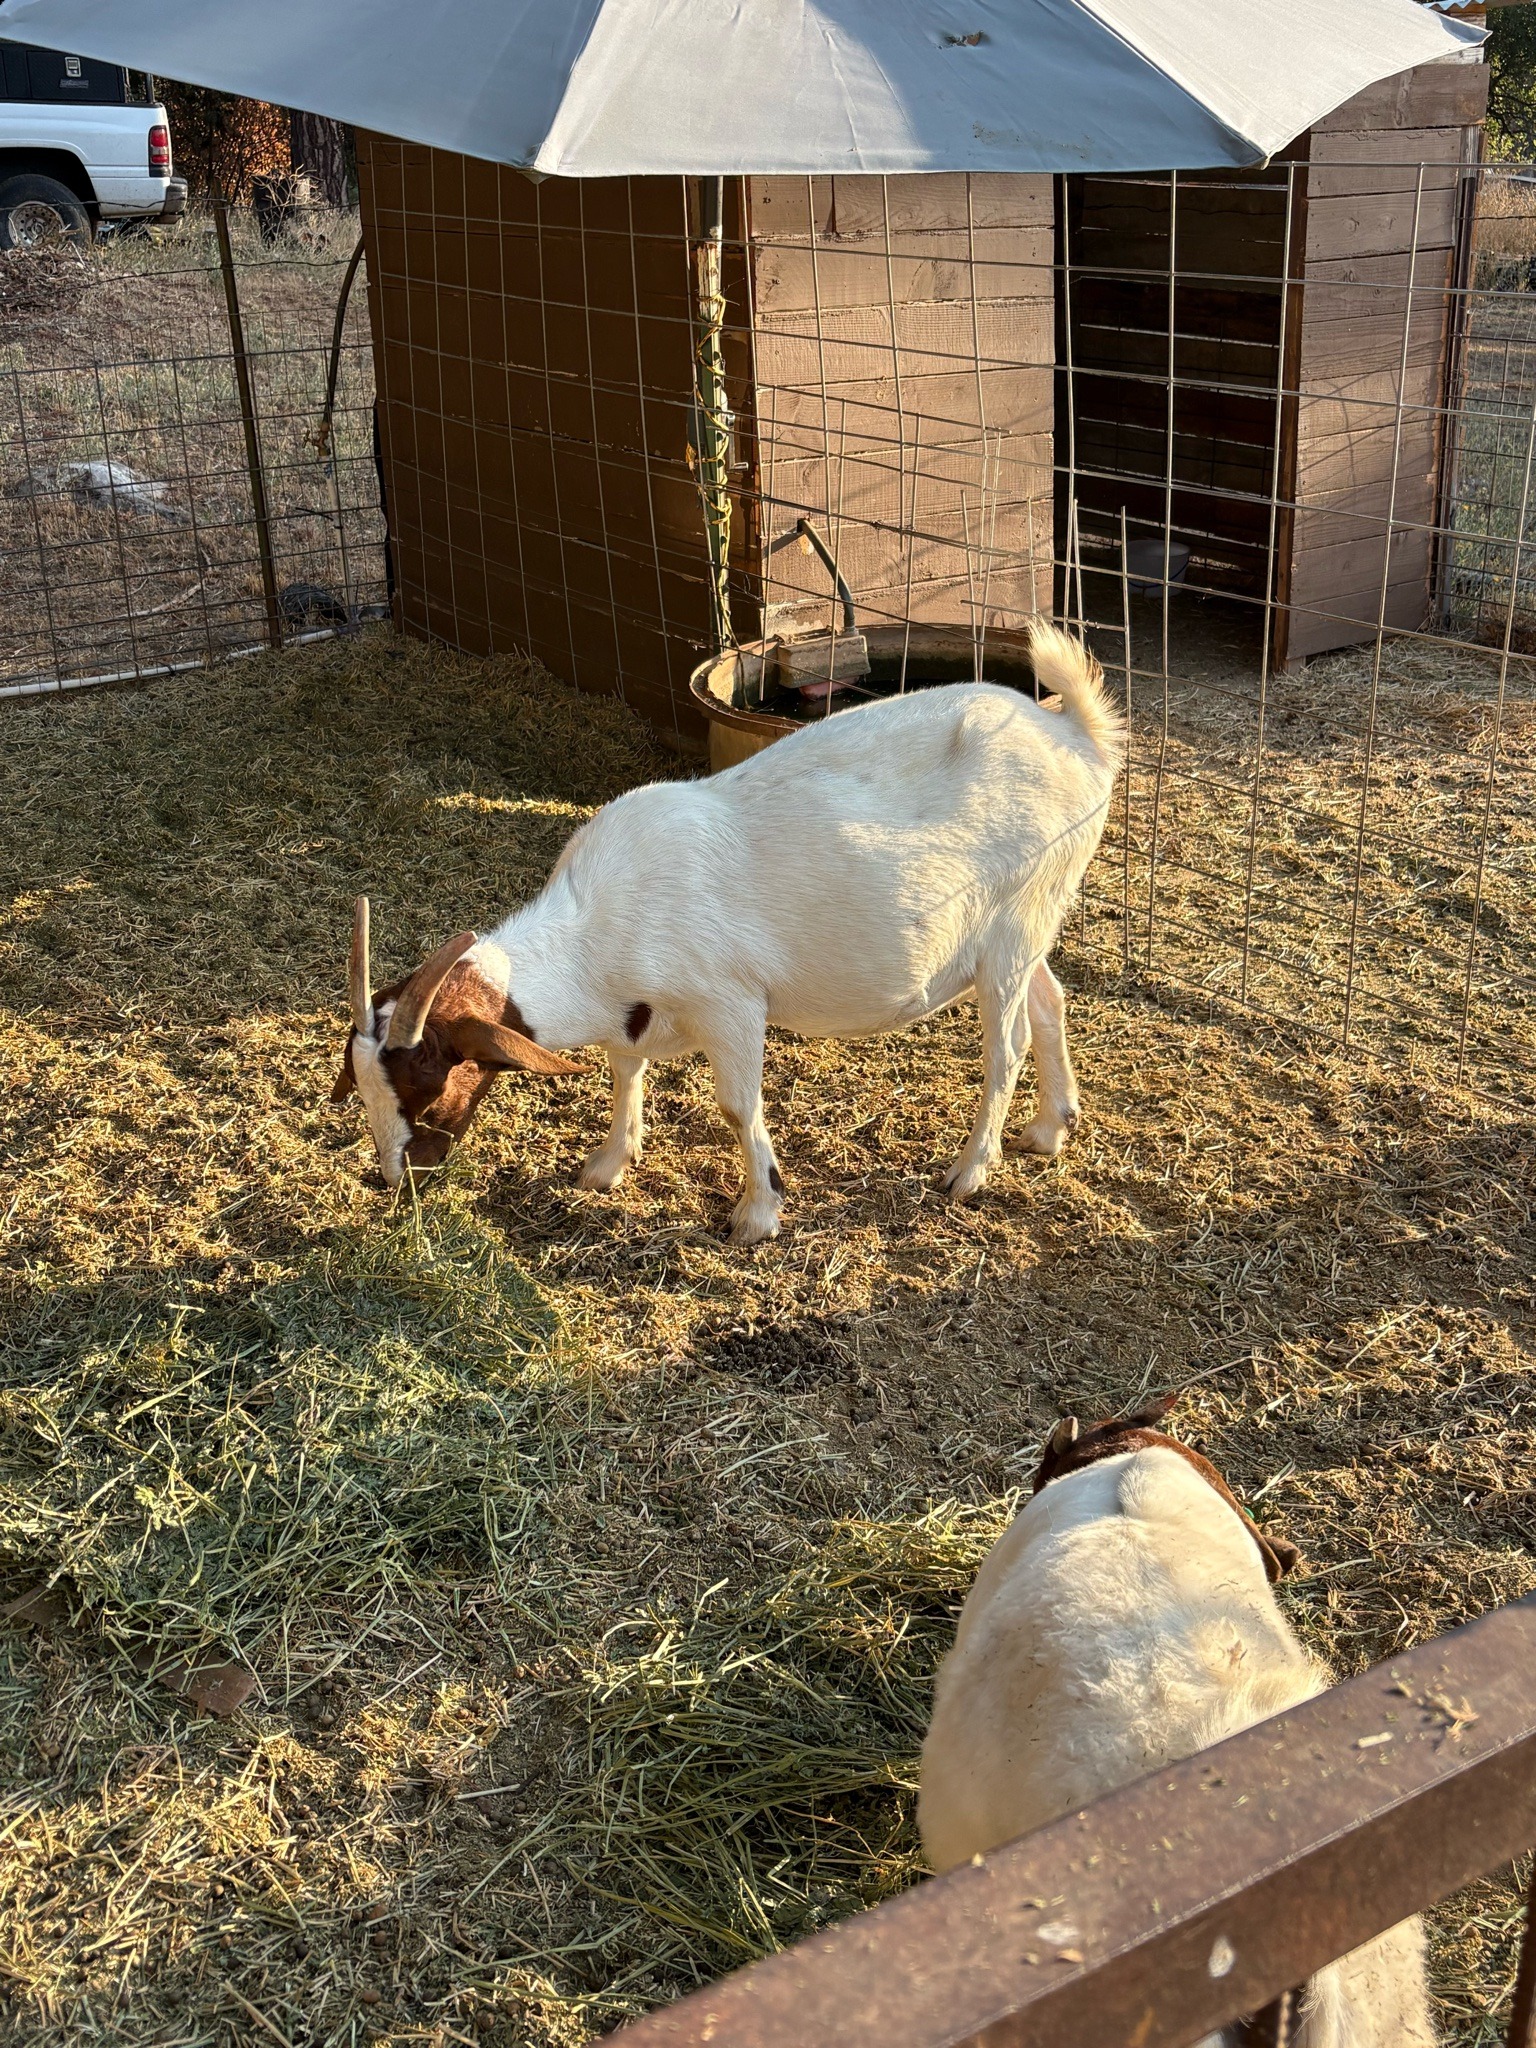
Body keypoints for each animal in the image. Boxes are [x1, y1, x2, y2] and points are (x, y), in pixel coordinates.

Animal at [331, 620, 1121, 1244]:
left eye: (427, 1087)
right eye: (361, 1087)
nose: (396, 1180)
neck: (595, 930)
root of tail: (1078, 737)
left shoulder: (732, 1005)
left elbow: (738, 1107)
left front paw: (757, 1214)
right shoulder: (638, 1013)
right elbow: (626, 1070)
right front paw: (607, 1165)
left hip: (1015, 925)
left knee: (1007, 1047)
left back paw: (969, 1172)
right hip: (1027, 923)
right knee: (1050, 1002)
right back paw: (1050, 1129)